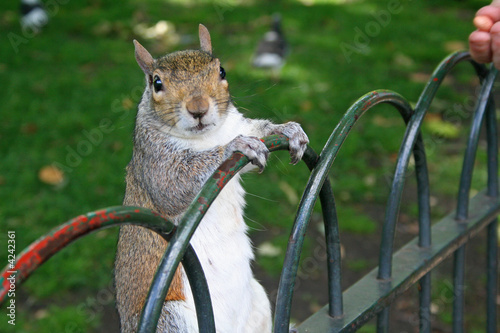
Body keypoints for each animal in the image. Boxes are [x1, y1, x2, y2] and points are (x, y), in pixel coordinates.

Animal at [114, 24, 308, 330]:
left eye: (222, 71)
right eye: (156, 83)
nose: (198, 108)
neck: (207, 137)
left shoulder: (237, 123)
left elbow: (260, 132)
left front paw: (287, 129)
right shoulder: (152, 160)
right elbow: (171, 186)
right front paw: (236, 146)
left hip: (259, 303)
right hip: (171, 319)